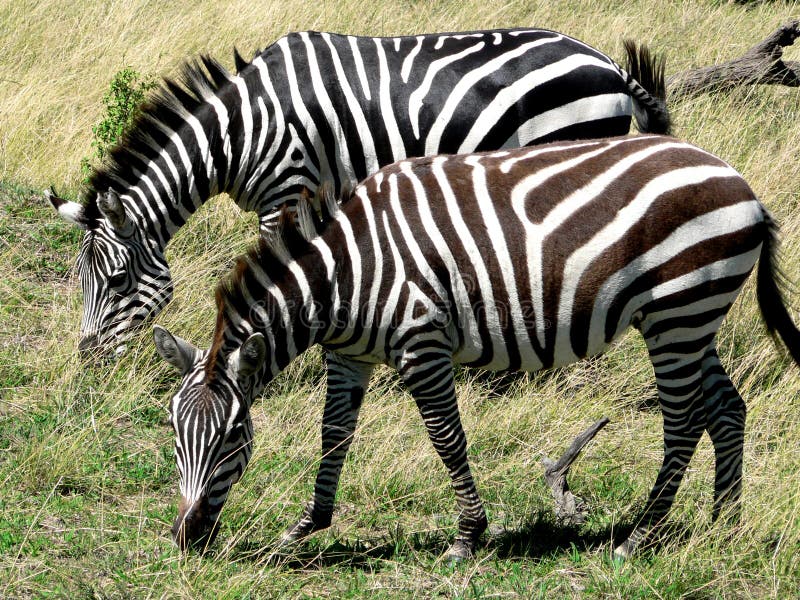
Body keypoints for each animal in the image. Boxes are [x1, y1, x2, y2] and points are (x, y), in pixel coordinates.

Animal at [48, 28, 670, 354]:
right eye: (79, 279)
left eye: (117, 280)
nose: (89, 362)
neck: (241, 132)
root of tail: (608, 63)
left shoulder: (287, 190)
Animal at [153, 134, 800, 559]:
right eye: (172, 432)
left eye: (234, 437)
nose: (186, 539)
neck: (346, 274)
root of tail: (743, 185)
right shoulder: (349, 355)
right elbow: (334, 436)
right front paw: (306, 526)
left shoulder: (422, 345)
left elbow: (446, 438)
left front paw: (468, 537)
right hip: (693, 316)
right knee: (726, 408)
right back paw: (723, 525)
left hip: (677, 310)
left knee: (684, 420)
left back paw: (641, 535)